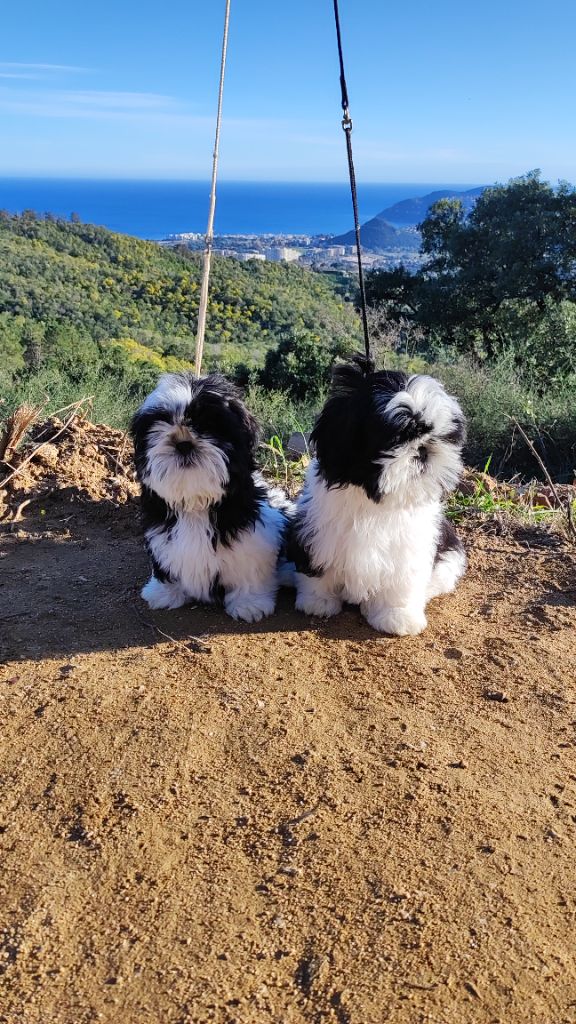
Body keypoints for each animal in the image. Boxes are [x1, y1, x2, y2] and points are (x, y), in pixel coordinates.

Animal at [132, 372, 289, 618]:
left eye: (208, 427)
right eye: (160, 425)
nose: (183, 443)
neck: (195, 503)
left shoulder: (253, 538)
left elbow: (249, 569)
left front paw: (249, 603)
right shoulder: (160, 536)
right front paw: (164, 593)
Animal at [291, 356, 467, 634]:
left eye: (442, 437)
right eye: (397, 438)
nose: (424, 449)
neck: (376, 501)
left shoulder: (410, 549)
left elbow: (402, 582)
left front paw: (397, 615)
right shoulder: (317, 534)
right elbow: (319, 569)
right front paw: (318, 600)